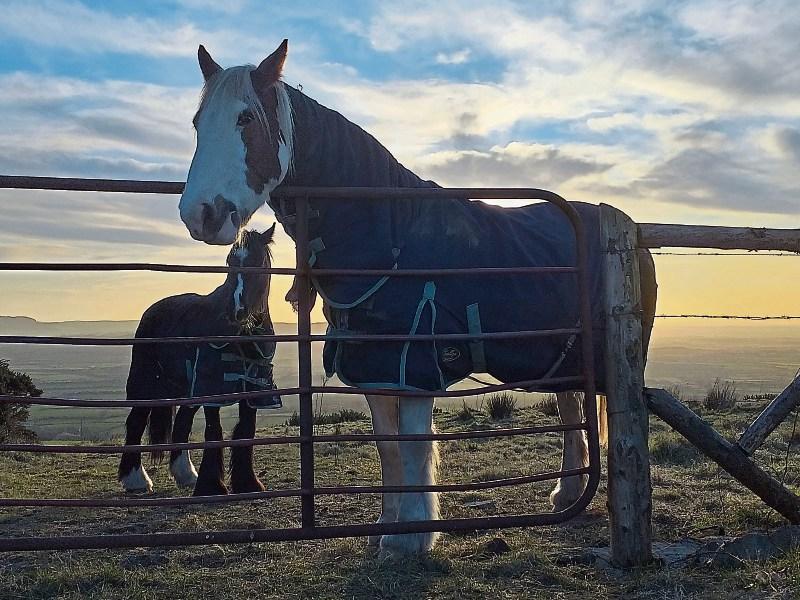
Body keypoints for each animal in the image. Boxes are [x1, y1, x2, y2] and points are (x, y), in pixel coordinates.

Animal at [118, 226, 283, 497]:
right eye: (230, 262)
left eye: (258, 261)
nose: (236, 311)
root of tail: (152, 311)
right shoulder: (211, 384)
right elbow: (214, 430)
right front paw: (212, 486)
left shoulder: (254, 386)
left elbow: (246, 430)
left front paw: (247, 483)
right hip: (145, 383)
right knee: (136, 421)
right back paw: (136, 480)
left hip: (185, 389)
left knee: (181, 424)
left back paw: (185, 474)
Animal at [176, 40, 658, 554]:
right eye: (197, 122)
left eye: (245, 118)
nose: (200, 215)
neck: (391, 237)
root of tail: (628, 230)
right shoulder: (375, 366)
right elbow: (388, 447)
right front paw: (388, 526)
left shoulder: (413, 366)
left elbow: (413, 445)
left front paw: (416, 534)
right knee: (570, 408)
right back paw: (567, 492)